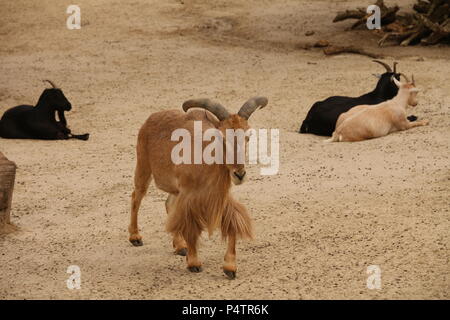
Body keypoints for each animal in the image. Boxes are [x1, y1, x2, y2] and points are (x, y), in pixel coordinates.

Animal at [127, 96, 268, 278]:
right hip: (144, 167)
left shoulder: (218, 197)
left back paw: (180, 246)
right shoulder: (190, 197)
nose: (239, 174)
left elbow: (232, 224)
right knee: (136, 197)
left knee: (168, 204)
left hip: (175, 188)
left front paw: (230, 267)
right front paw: (194, 263)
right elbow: (190, 229)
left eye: (247, 137)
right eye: (222, 138)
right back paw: (135, 237)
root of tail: (150, 118)